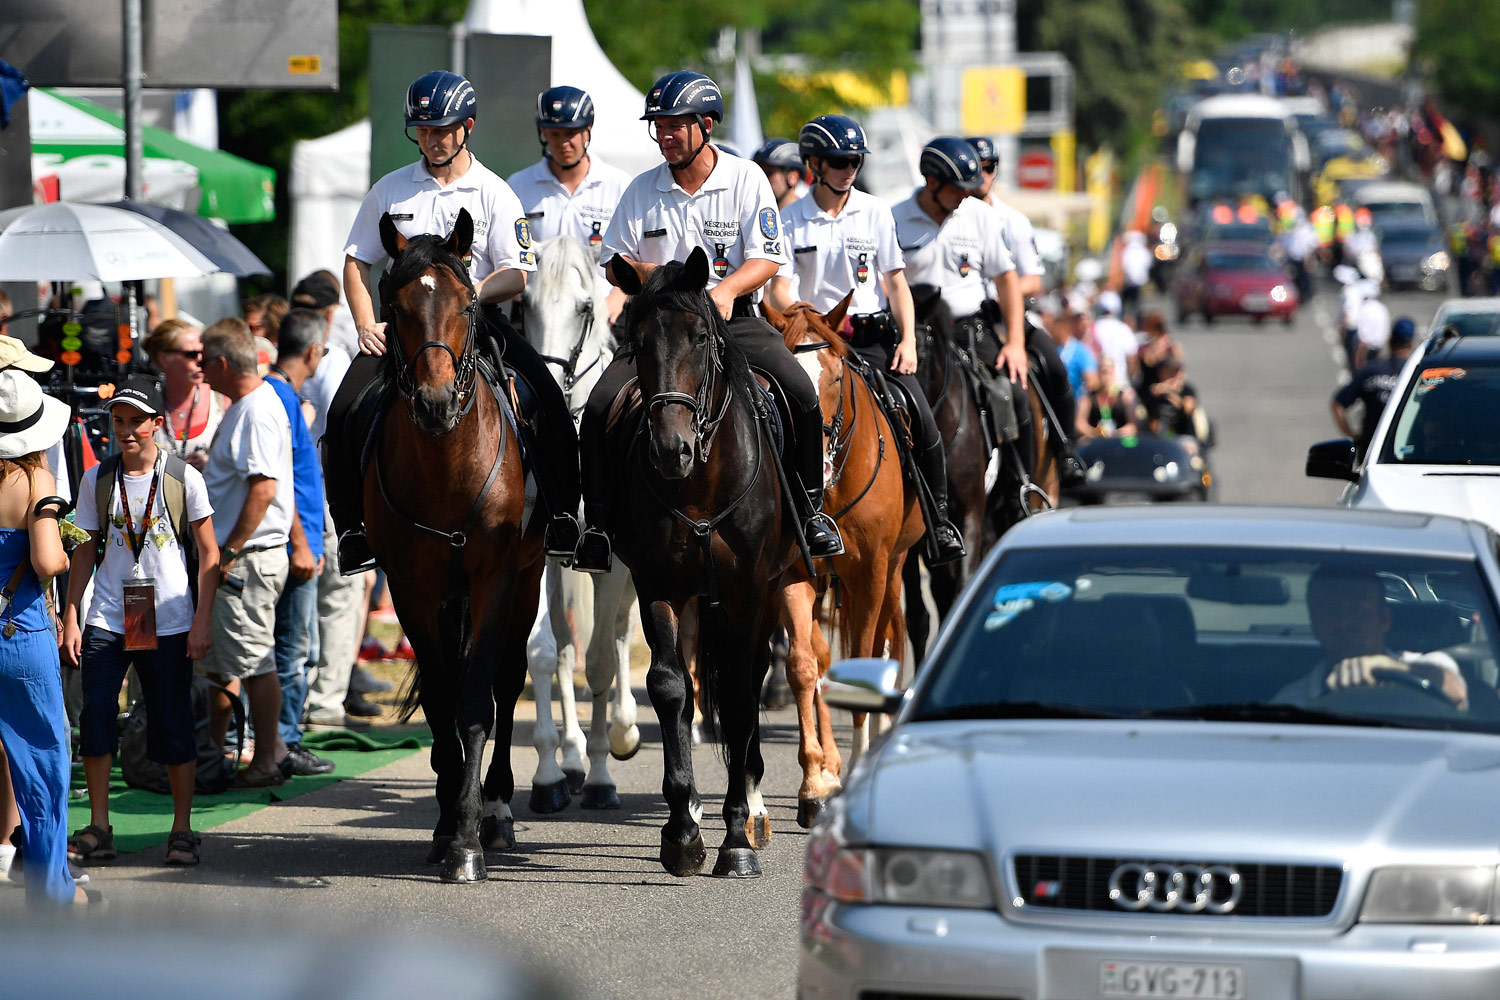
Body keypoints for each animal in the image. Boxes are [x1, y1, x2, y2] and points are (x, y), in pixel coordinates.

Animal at [363, 209, 546, 881]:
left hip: (526, 583)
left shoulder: (496, 580)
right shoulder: (411, 590)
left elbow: (474, 703)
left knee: (508, 682)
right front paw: (446, 828)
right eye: (394, 306)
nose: (437, 402)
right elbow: (442, 703)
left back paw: (496, 811)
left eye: (467, 304)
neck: (446, 464)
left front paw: (468, 838)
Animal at [603, 245, 804, 881]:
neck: (699, 484)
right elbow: (670, 688)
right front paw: (682, 832)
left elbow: (739, 695)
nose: (672, 450)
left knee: (754, 674)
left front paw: (735, 838)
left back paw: (756, 808)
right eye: (637, 340)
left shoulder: (749, 590)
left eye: (699, 337)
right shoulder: (659, 585)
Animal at [762, 296, 924, 827]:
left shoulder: (871, 572)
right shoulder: (796, 577)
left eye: (835, 377)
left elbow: (866, 660)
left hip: (892, 569)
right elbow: (804, 665)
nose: (818, 463)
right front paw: (815, 782)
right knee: (824, 657)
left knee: (888, 637)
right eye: (780, 380)